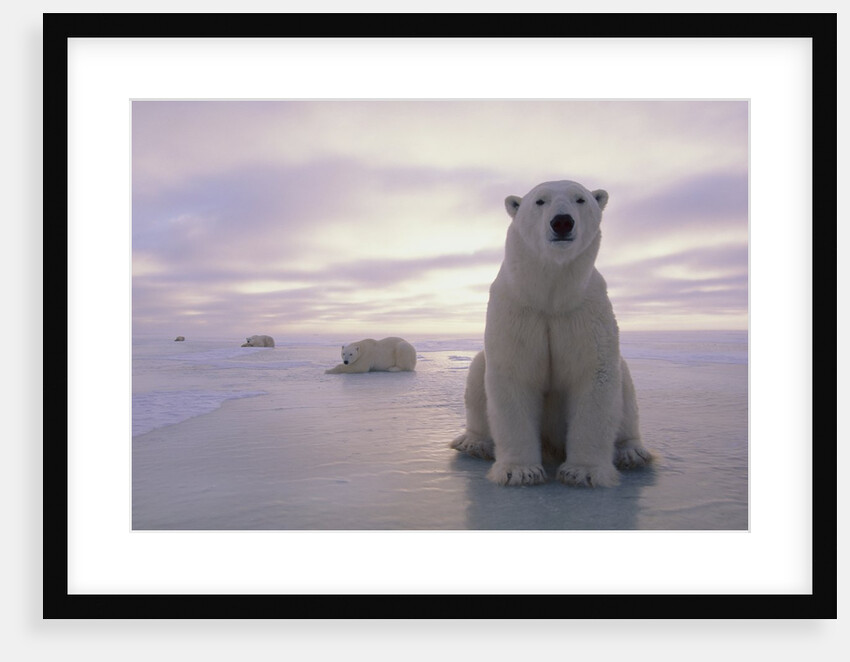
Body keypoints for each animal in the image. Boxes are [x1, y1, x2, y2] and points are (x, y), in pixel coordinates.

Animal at [450, 180, 652, 487]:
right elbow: (514, 375)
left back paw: (632, 452)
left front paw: (583, 472)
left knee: (625, 384)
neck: (551, 298)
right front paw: (521, 471)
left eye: (581, 199)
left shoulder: (583, 313)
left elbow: (593, 374)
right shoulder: (518, 312)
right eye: (540, 201)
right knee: (476, 372)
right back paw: (473, 443)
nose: (562, 222)